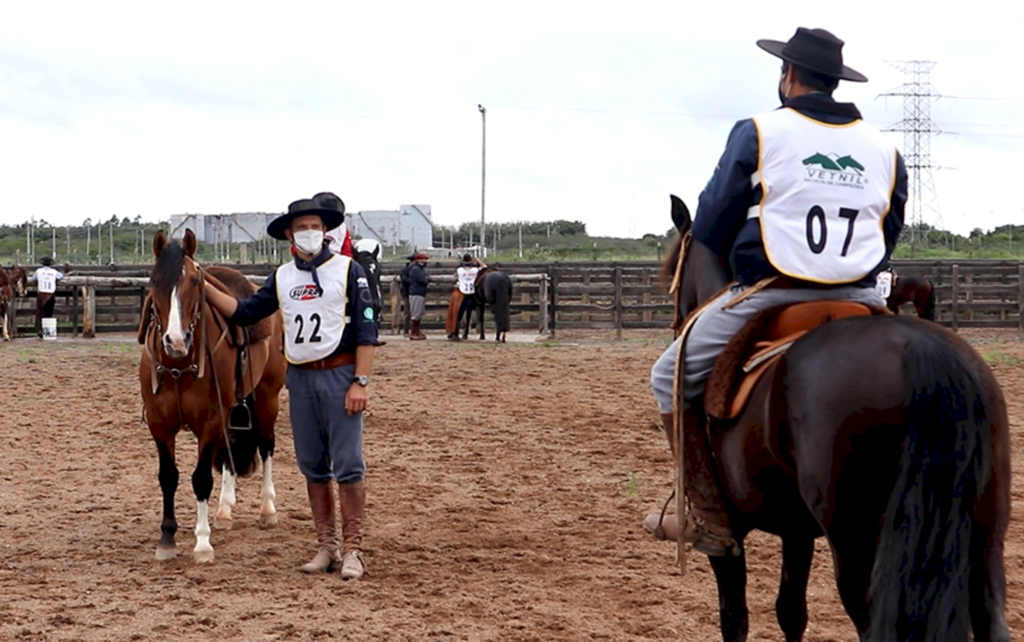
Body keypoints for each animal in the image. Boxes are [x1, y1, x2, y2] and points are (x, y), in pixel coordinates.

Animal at [663, 195, 1007, 642]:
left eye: (673, 267)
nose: (675, 325)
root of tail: (920, 349)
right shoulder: (795, 527)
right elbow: (791, 612)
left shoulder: (730, 537)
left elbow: (734, 617)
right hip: (982, 544)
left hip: (859, 549)